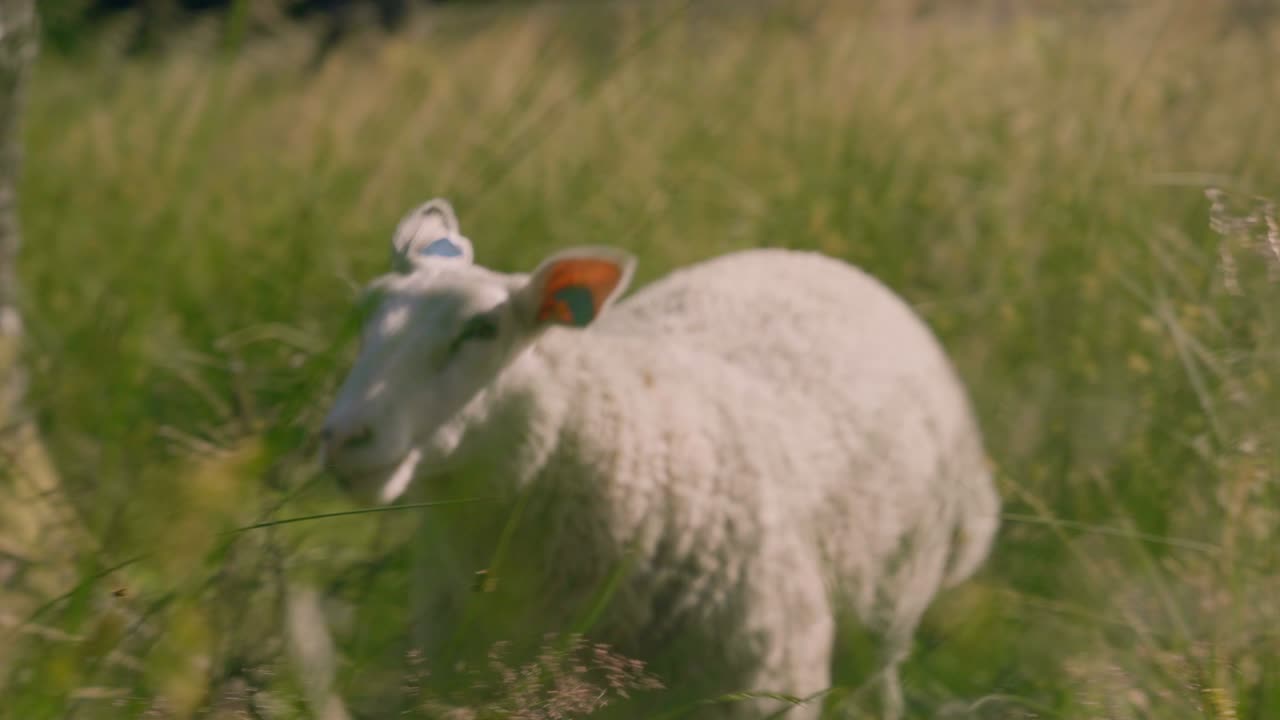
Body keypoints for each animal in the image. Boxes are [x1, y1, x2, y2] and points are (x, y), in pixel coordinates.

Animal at [314, 197, 1001, 719]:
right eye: (364, 314)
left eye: (481, 330)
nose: (344, 438)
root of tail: (823, 263)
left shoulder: (766, 685)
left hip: (890, 606)